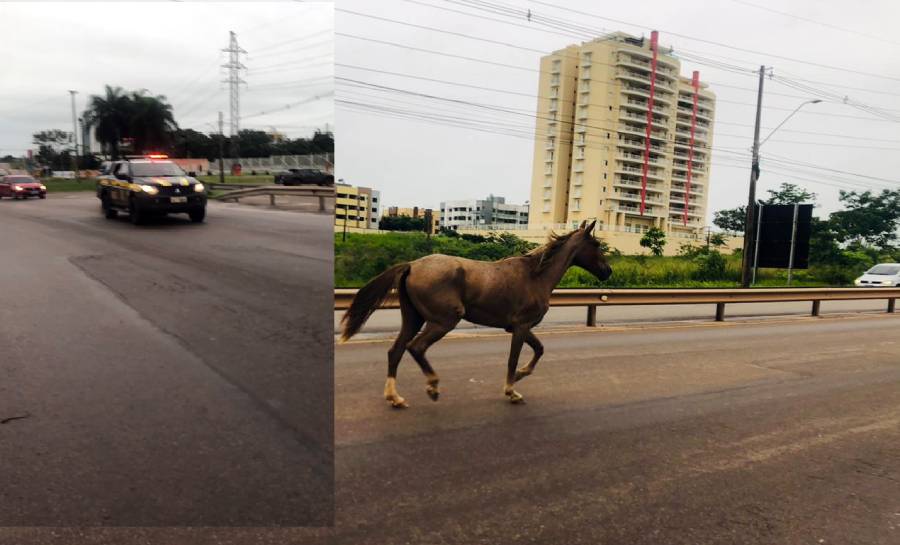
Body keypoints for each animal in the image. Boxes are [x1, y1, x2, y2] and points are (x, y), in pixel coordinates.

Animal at [340, 219, 612, 406]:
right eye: (596, 244)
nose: (608, 271)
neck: (536, 276)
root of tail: (412, 265)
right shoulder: (521, 326)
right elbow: (514, 359)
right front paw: (512, 390)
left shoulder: (519, 327)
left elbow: (539, 349)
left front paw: (521, 375)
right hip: (444, 320)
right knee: (416, 347)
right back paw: (432, 386)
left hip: (413, 318)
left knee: (395, 351)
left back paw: (394, 397)